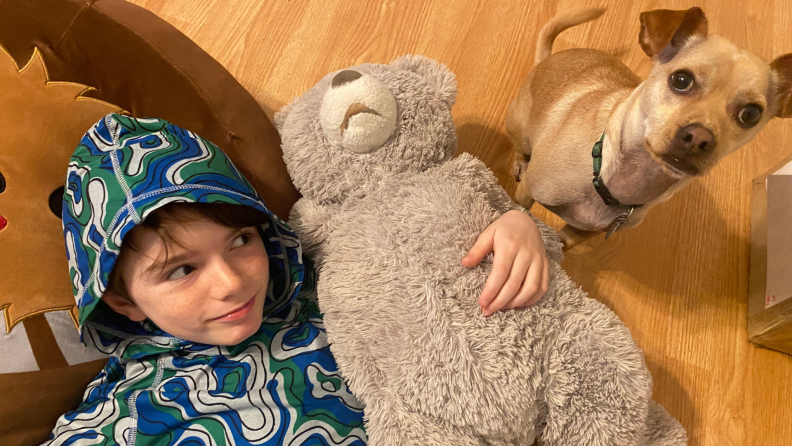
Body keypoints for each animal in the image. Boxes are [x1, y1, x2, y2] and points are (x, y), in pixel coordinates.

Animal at [508, 6, 792, 249]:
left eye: (751, 114)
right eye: (681, 80)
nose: (699, 138)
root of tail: (546, 60)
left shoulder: (577, 233)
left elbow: (559, 245)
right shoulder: (526, 194)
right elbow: (519, 211)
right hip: (519, 131)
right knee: (522, 147)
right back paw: (521, 161)